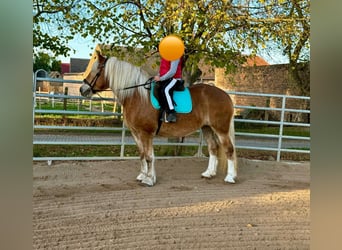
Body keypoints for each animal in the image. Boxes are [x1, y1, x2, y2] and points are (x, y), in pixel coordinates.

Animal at [79, 51, 236, 187]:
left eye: (96, 71)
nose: (82, 89)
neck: (136, 95)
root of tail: (225, 95)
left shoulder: (146, 133)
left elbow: (149, 156)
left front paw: (149, 180)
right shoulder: (136, 133)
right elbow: (142, 155)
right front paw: (143, 175)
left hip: (221, 129)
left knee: (229, 149)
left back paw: (230, 177)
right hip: (207, 128)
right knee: (213, 148)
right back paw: (209, 173)